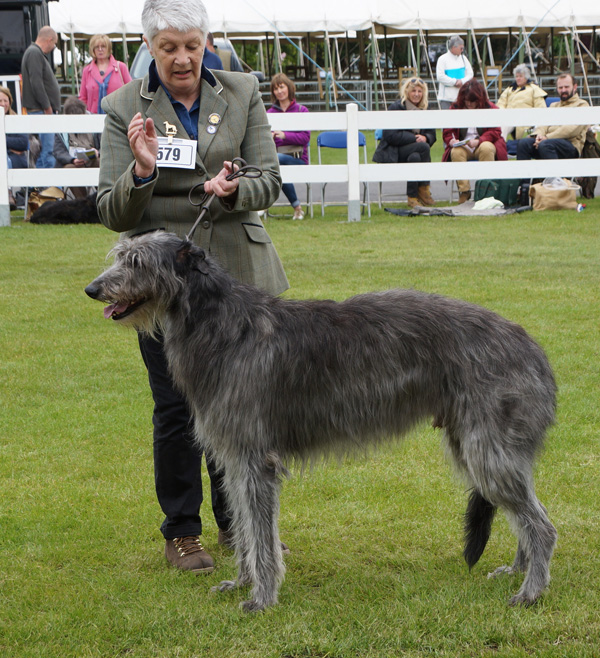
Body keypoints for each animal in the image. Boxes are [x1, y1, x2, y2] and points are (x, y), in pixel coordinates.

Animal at [85, 231, 556, 608]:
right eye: (120, 255)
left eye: (137, 262)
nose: (92, 289)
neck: (221, 326)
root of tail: (533, 348)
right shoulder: (234, 460)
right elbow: (244, 527)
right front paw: (240, 582)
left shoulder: (255, 459)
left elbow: (260, 535)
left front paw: (262, 597)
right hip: (479, 446)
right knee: (525, 513)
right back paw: (518, 570)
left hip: (487, 448)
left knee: (542, 525)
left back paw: (531, 591)